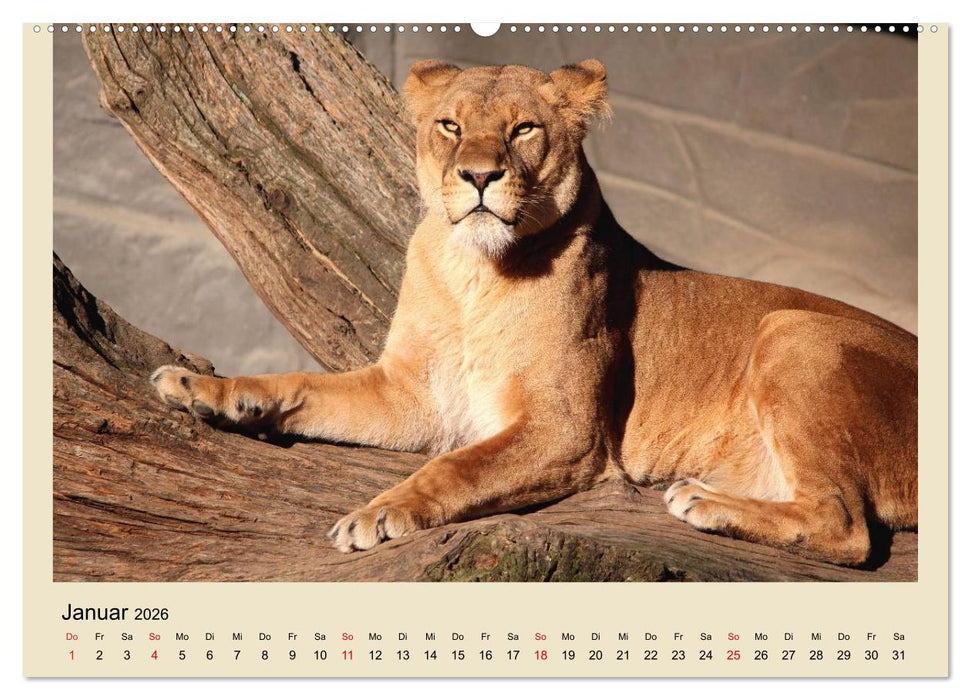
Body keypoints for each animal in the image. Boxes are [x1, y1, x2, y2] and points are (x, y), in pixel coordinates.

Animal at [151, 59, 917, 566]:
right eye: (450, 126)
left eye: (522, 130)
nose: (478, 175)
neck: (473, 273)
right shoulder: (410, 396)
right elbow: (300, 384)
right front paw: (204, 388)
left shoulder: (566, 430)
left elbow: (455, 469)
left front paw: (379, 513)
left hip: (793, 329)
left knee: (846, 527)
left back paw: (705, 503)